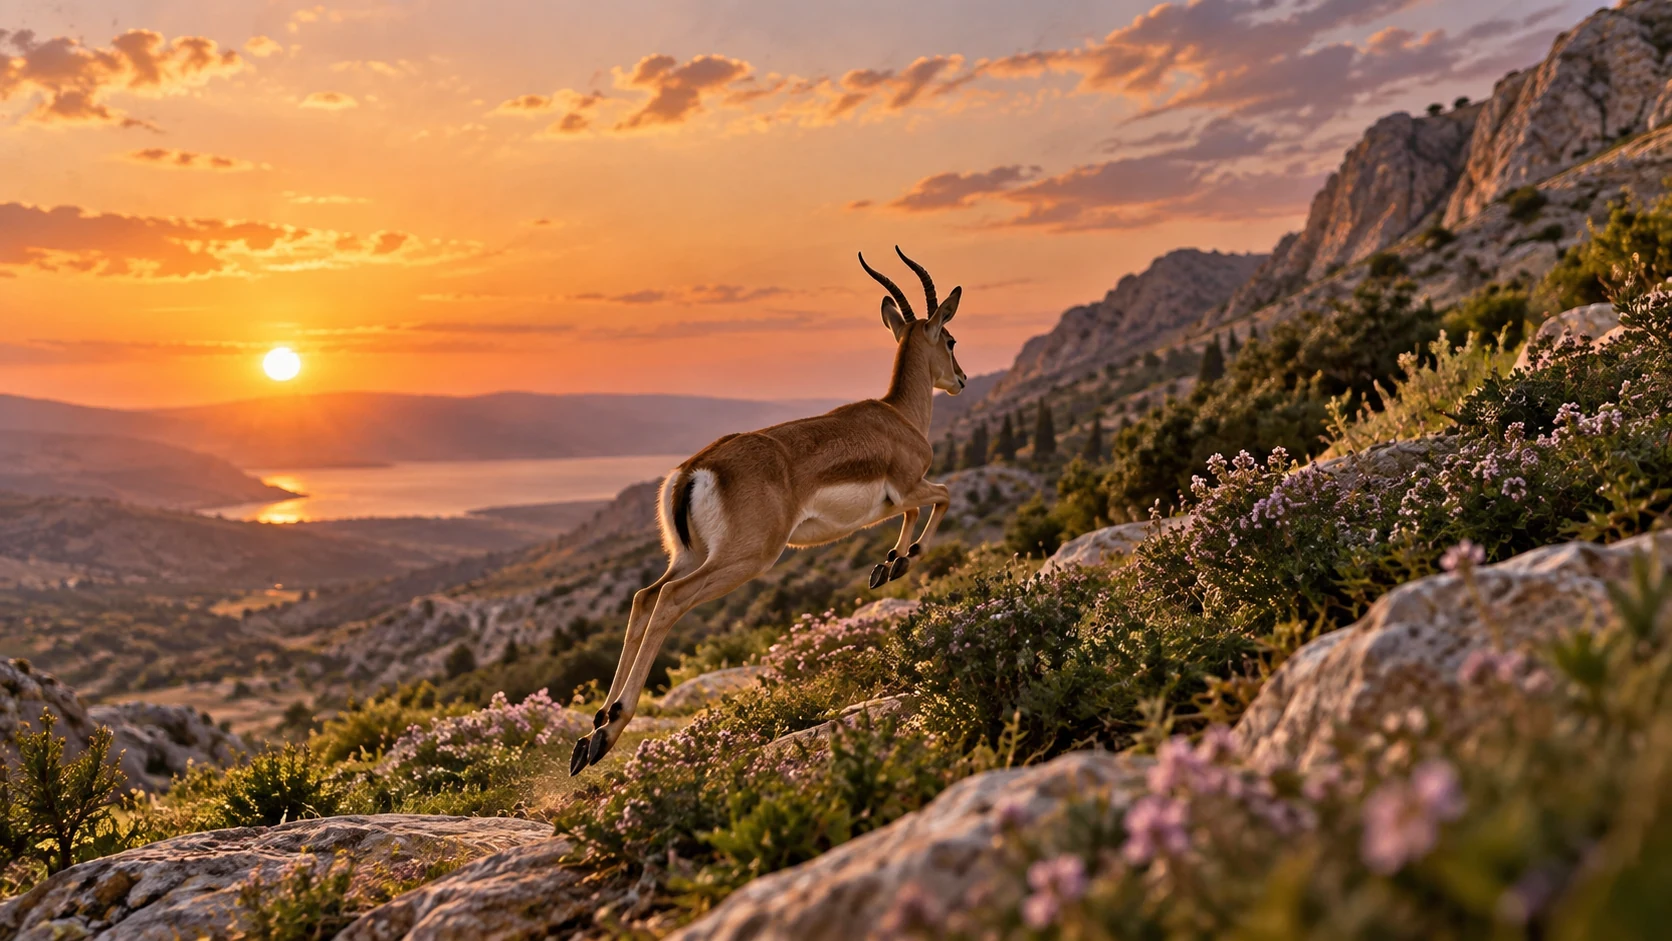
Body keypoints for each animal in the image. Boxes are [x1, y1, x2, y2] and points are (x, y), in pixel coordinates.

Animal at [570, 248, 967, 774]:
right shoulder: (909, 488)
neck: (898, 417)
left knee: (642, 597)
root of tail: (695, 470)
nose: (961, 379)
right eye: (950, 338)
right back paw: (609, 729)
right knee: (670, 599)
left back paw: (591, 736)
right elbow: (943, 495)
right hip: (745, 559)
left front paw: (887, 566)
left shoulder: (900, 499)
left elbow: (917, 514)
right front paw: (899, 562)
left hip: (689, 555)